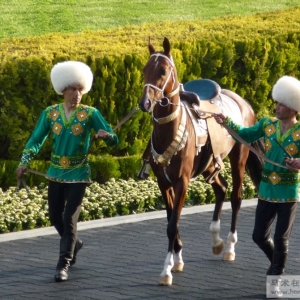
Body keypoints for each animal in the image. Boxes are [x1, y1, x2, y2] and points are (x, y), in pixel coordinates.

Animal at [138, 37, 262, 286]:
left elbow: (172, 224)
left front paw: (166, 270)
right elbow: (171, 221)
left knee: (236, 197)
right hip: (209, 165)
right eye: (145, 69)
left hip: (239, 158)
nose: (145, 102)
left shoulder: (182, 181)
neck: (170, 130)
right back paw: (216, 241)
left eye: (163, 70)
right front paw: (176, 260)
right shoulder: (163, 182)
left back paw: (229, 247)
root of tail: (243, 102)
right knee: (221, 188)